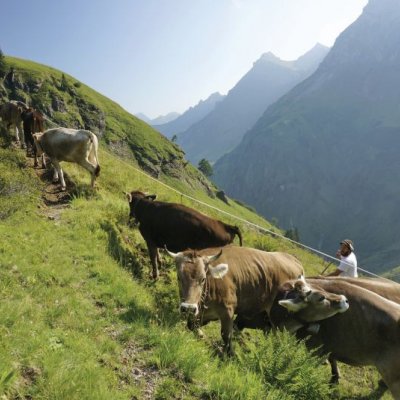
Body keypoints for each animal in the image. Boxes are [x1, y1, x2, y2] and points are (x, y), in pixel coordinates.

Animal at [165, 245, 304, 354]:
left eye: (203, 279)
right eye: (179, 277)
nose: (188, 308)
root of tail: (294, 260)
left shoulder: (228, 311)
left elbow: (226, 336)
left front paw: (227, 355)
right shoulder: (203, 314)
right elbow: (192, 325)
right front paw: (207, 341)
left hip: (280, 320)